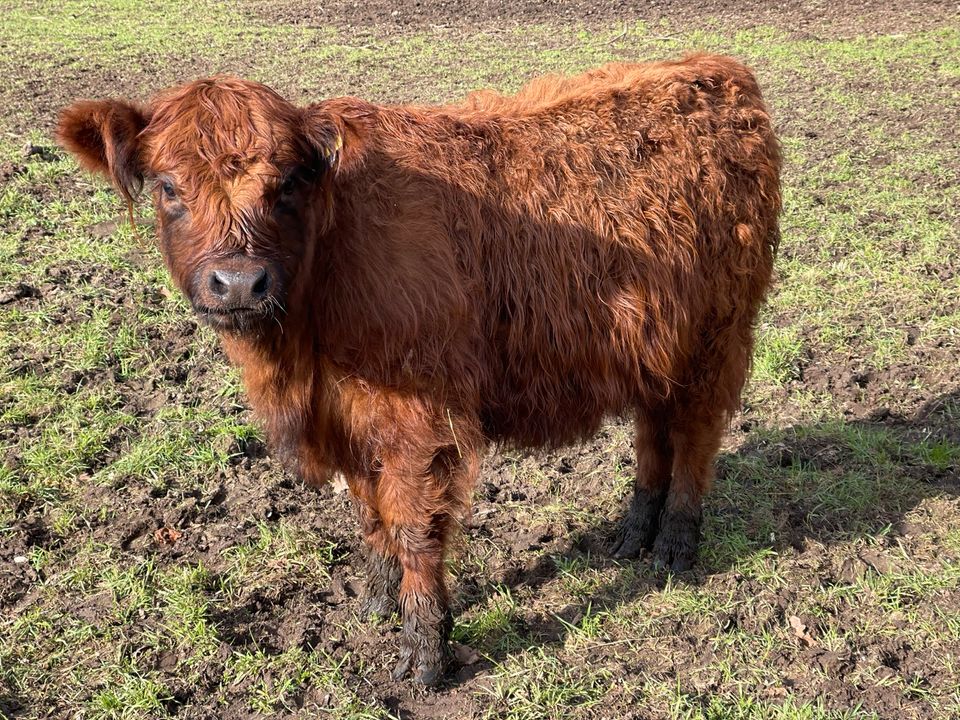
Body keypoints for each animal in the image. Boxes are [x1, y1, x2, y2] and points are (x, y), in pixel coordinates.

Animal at [56, 53, 780, 684]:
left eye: (285, 184)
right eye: (169, 187)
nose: (238, 283)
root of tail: (717, 71)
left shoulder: (420, 421)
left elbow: (414, 526)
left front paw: (425, 652)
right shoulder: (348, 416)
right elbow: (370, 510)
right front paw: (378, 599)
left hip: (718, 338)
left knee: (695, 438)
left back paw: (675, 546)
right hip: (658, 349)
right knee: (654, 434)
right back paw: (633, 535)